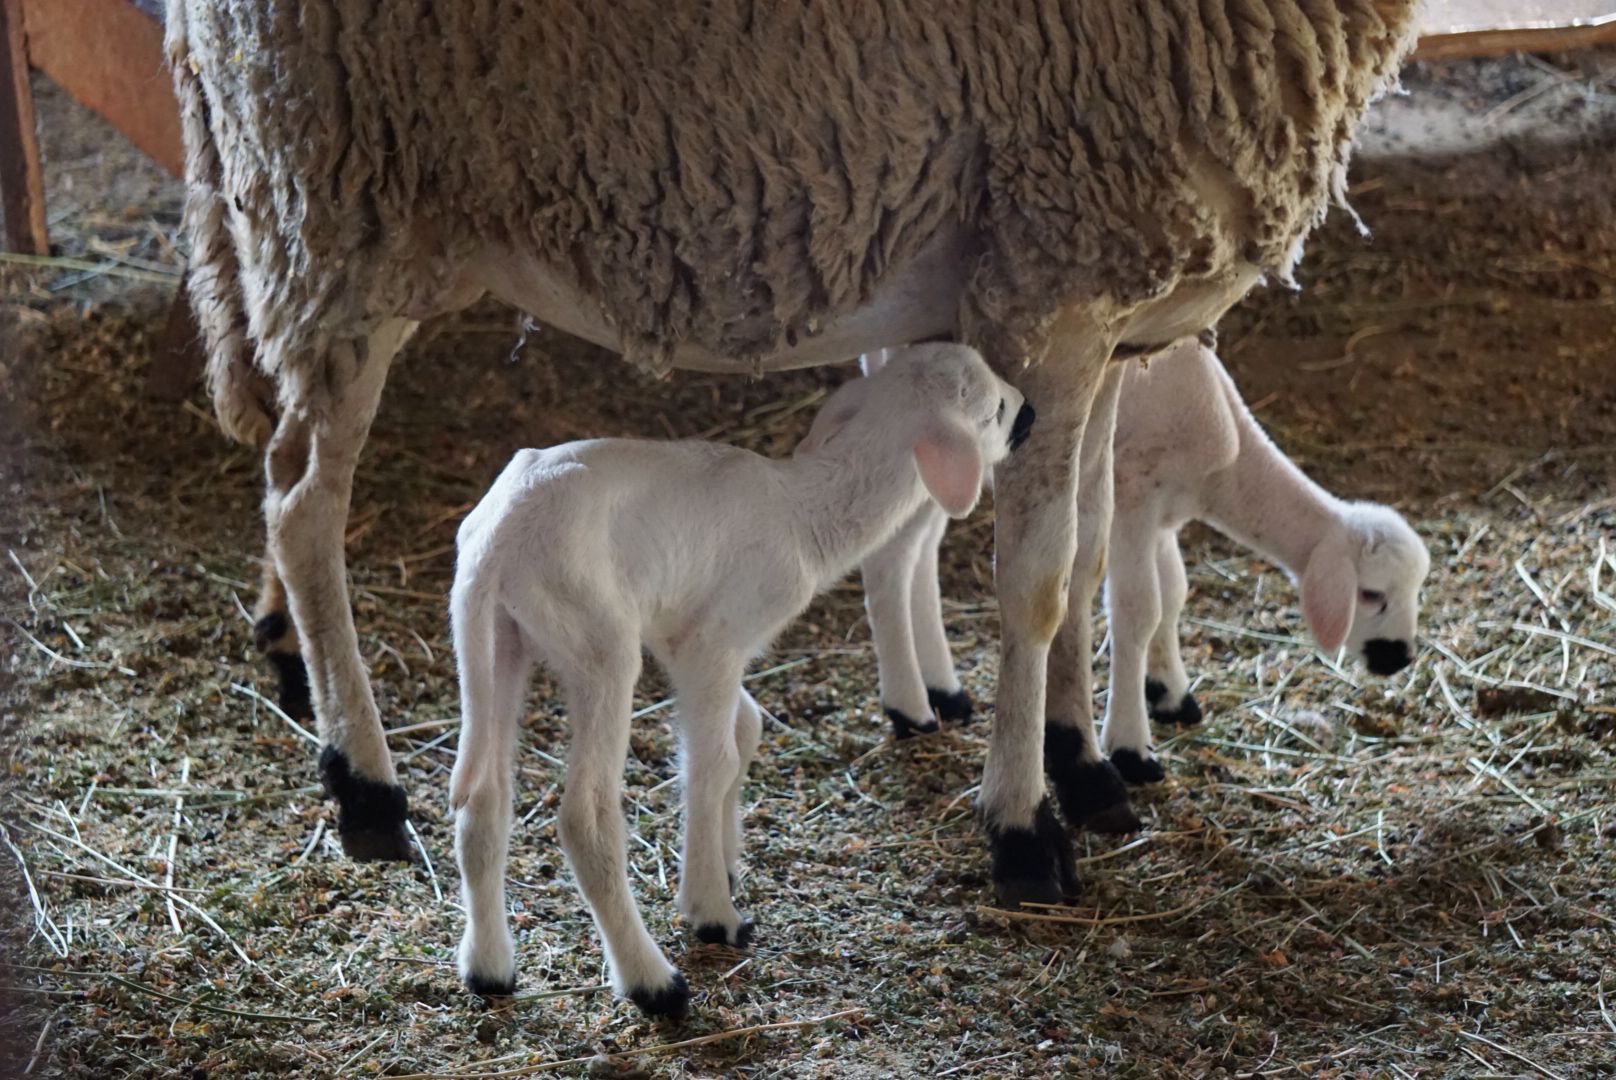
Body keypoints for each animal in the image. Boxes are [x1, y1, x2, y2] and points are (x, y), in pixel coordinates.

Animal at [448, 342, 1031, 1014]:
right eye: (991, 411)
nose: (1030, 413)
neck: (804, 512)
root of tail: (495, 547)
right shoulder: (714, 642)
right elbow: (714, 762)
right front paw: (712, 911)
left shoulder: (680, 637)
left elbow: (742, 733)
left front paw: (722, 863)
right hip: (598, 642)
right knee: (584, 820)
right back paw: (653, 981)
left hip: (499, 638)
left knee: (483, 802)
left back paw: (489, 970)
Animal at [861, 337, 1431, 791]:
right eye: (1372, 595)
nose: (1401, 658)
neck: (1226, 476)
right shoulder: (1135, 501)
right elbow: (1139, 610)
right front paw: (1131, 747)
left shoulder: (1164, 516)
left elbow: (1173, 594)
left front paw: (1169, 692)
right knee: (890, 558)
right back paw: (910, 707)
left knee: (920, 553)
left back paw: (945, 690)